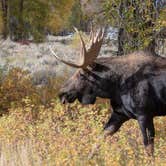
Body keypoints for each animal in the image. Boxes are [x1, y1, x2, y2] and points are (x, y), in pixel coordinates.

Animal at [49, 27, 166, 156]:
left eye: (81, 74)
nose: (61, 93)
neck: (114, 87)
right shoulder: (120, 113)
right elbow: (99, 139)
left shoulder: (144, 114)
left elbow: (149, 149)